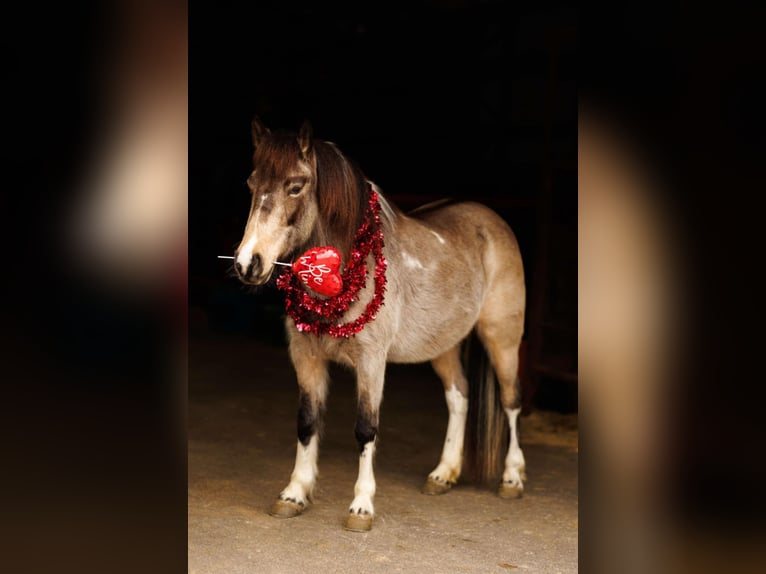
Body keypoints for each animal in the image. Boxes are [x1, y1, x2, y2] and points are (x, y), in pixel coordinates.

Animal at [236, 118, 528, 536]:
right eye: (251, 183)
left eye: (296, 185)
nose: (248, 263)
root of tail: (490, 219)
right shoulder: (306, 357)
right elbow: (307, 422)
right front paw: (294, 494)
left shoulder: (371, 362)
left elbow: (365, 428)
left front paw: (361, 506)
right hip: (443, 344)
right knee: (459, 396)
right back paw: (443, 474)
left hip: (502, 338)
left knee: (511, 401)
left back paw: (512, 478)